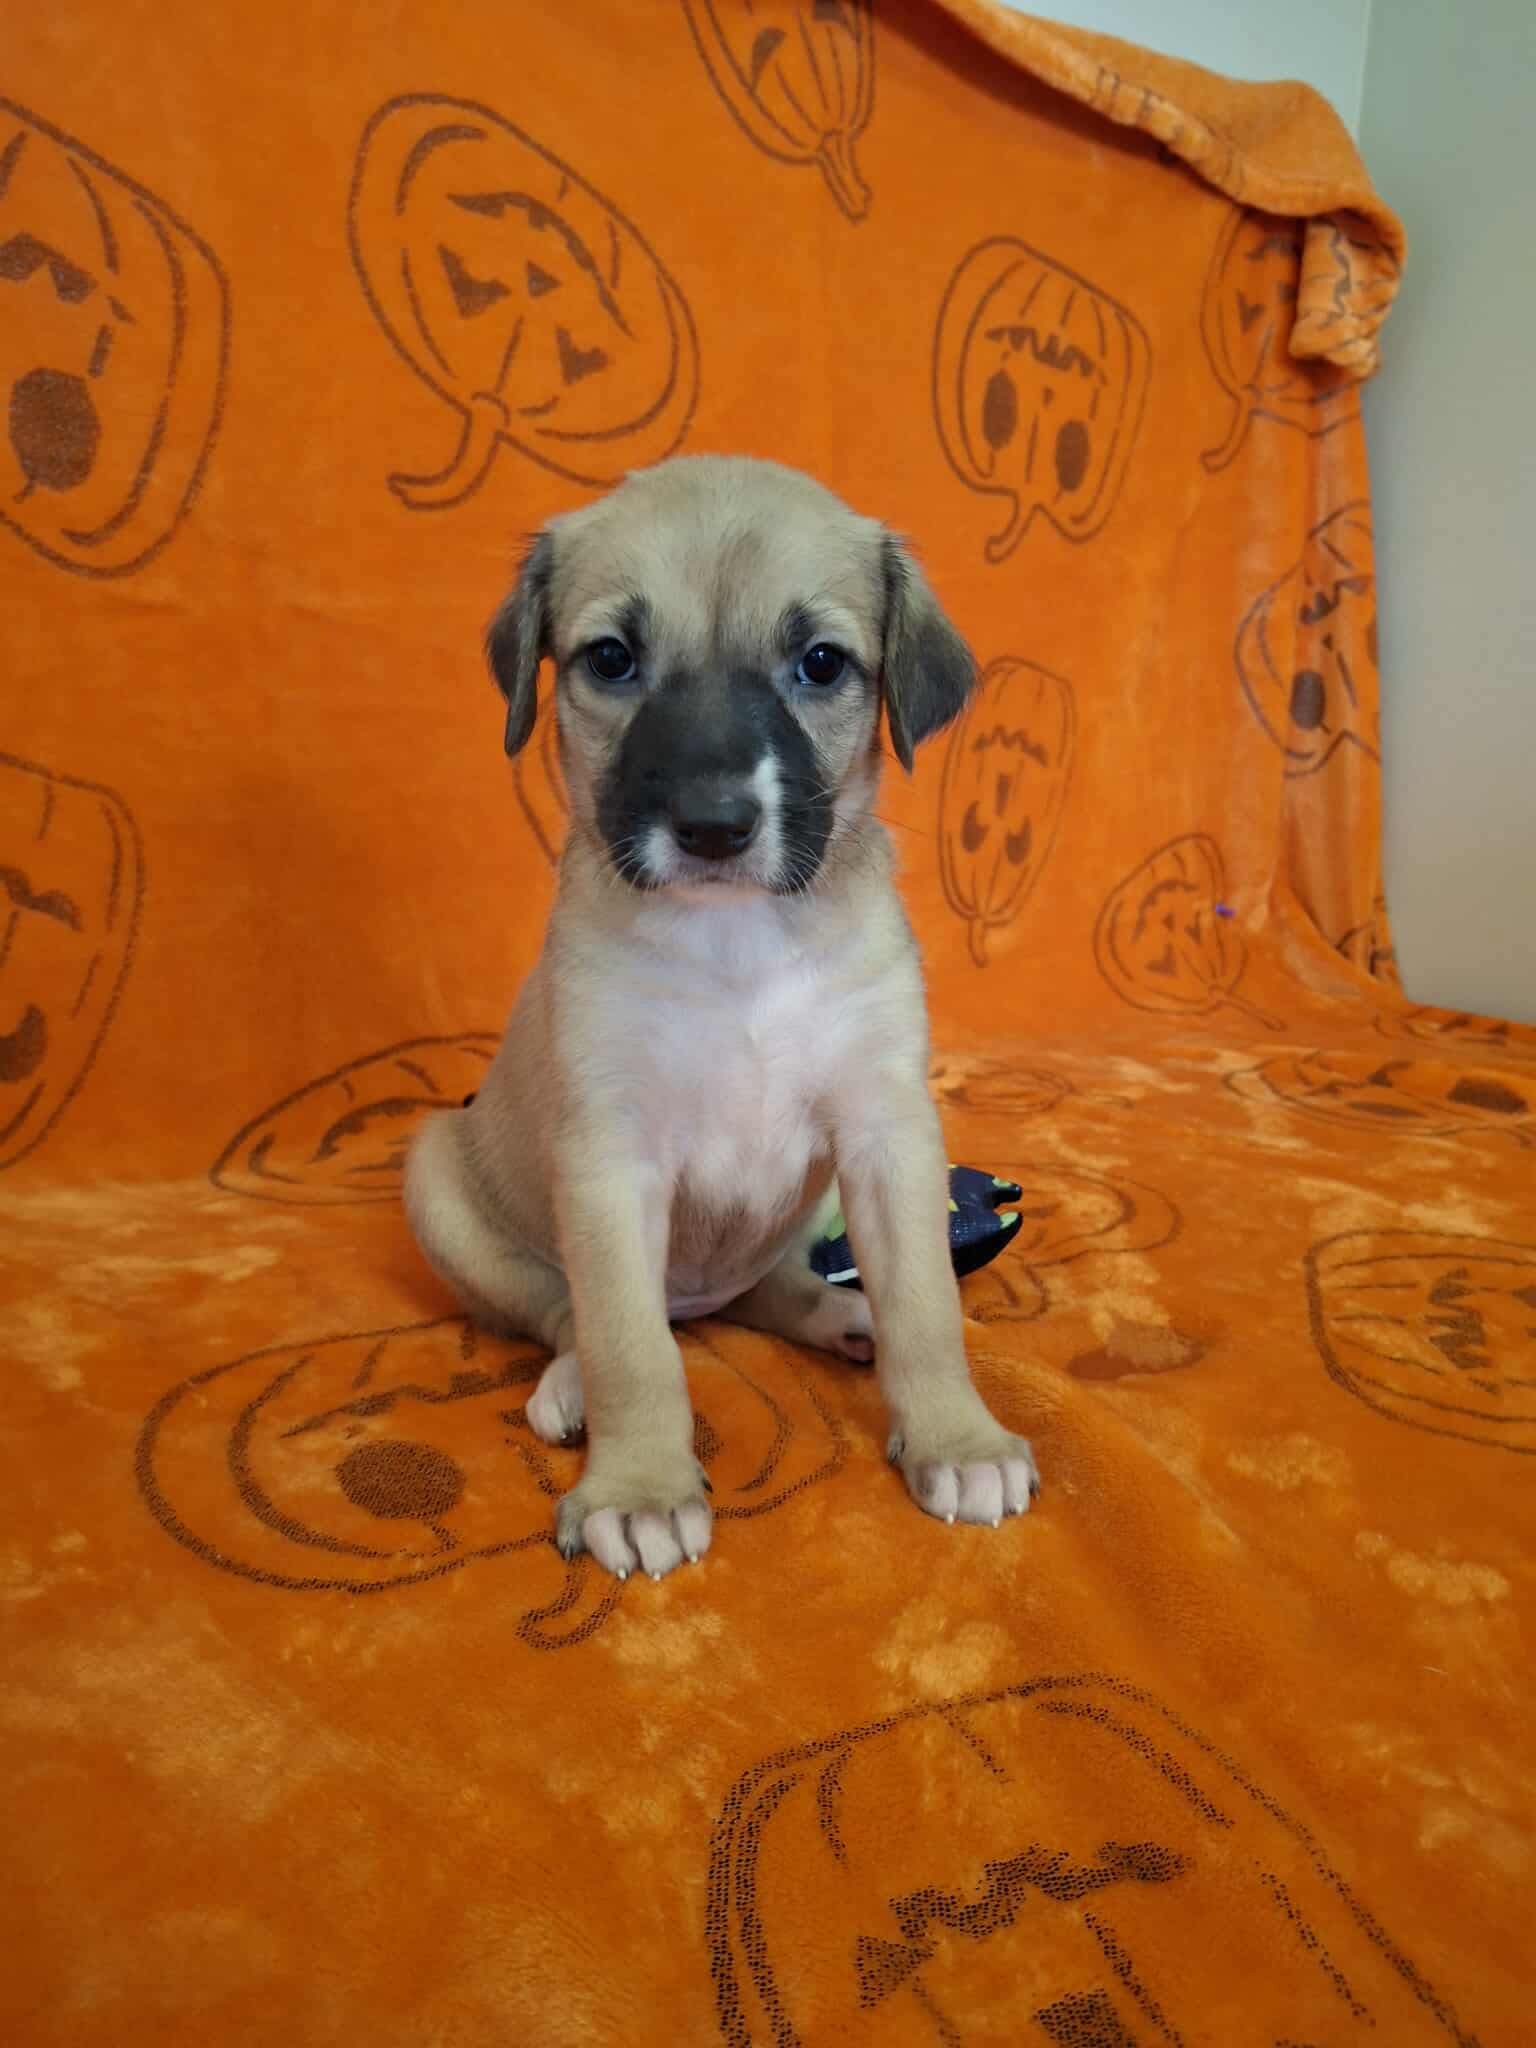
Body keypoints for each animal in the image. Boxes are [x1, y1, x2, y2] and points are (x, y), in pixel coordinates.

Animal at [405, 454, 1039, 1581]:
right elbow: (629, 1346)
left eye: (821, 663)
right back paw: (572, 1382)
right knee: (572, 1313)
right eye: (612, 659)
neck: (736, 943)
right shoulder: (610, 1157)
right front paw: (640, 1487)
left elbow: (930, 1303)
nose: (710, 824)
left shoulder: (886, 1132)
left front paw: (957, 1438)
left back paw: (843, 1314)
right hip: (434, 1175)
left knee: (771, 1290)